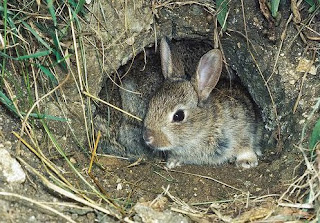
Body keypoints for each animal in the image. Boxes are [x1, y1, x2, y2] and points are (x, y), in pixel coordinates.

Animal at [142, 37, 262, 168]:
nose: (147, 137)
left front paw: (247, 161)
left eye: (178, 116)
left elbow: (245, 145)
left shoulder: (243, 127)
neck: (204, 127)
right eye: (150, 104)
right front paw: (173, 162)